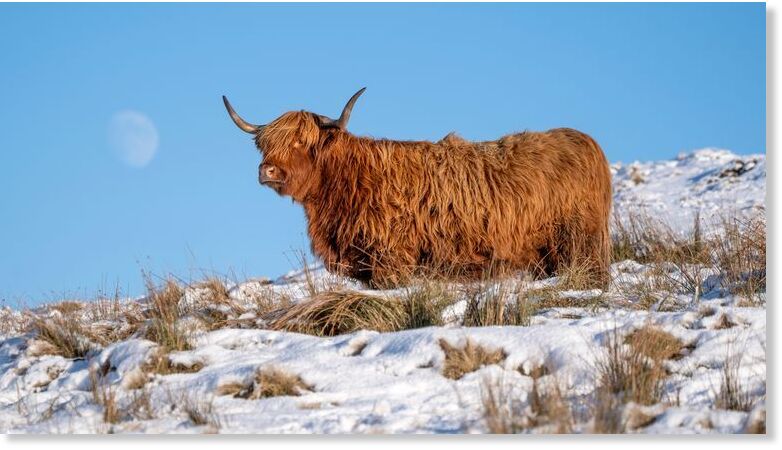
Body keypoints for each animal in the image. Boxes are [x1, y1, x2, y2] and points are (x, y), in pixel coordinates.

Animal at [223, 88, 612, 289]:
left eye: (301, 142)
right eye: (264, 145)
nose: (266, 170)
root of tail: (585, 141)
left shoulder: (390, 260)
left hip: (578, 244)